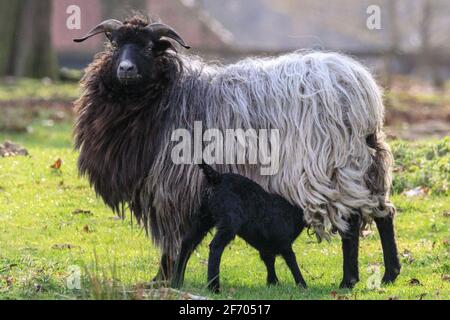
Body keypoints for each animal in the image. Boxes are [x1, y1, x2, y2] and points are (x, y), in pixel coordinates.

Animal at [171, 162, 308, 292]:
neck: (291, 211)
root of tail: (216, 177)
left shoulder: (266, 248)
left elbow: (270, 262)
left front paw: (273, 283)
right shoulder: (284, 242)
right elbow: (291, 261)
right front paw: (302, 285)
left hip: (203, 218)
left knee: (187, 243)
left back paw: (176, 282)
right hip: (230, 221)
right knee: (215, 247)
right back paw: (214, 287)